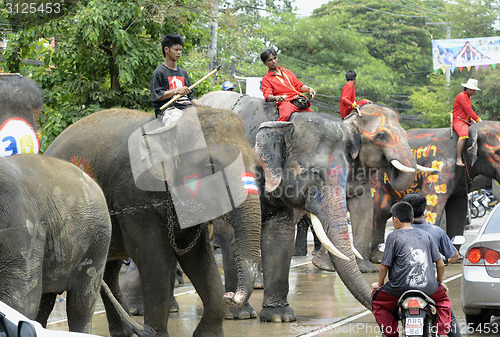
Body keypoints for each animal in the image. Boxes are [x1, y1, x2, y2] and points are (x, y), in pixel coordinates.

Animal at [45, 105, 262, 336]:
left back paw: (125, 332)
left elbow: (197, 258)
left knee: (107, 270)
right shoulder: (133, 195)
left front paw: (207, 334)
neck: (169, 128)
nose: (231, 296)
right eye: (210, 166)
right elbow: (156, 260)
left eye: (256, 165)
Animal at [195, 90, 422, 322]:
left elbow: (281, 232)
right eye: (382, 136)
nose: (400, 306)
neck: (284, 124)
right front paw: (239, 313)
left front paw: (280, 317)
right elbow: (231, 230)